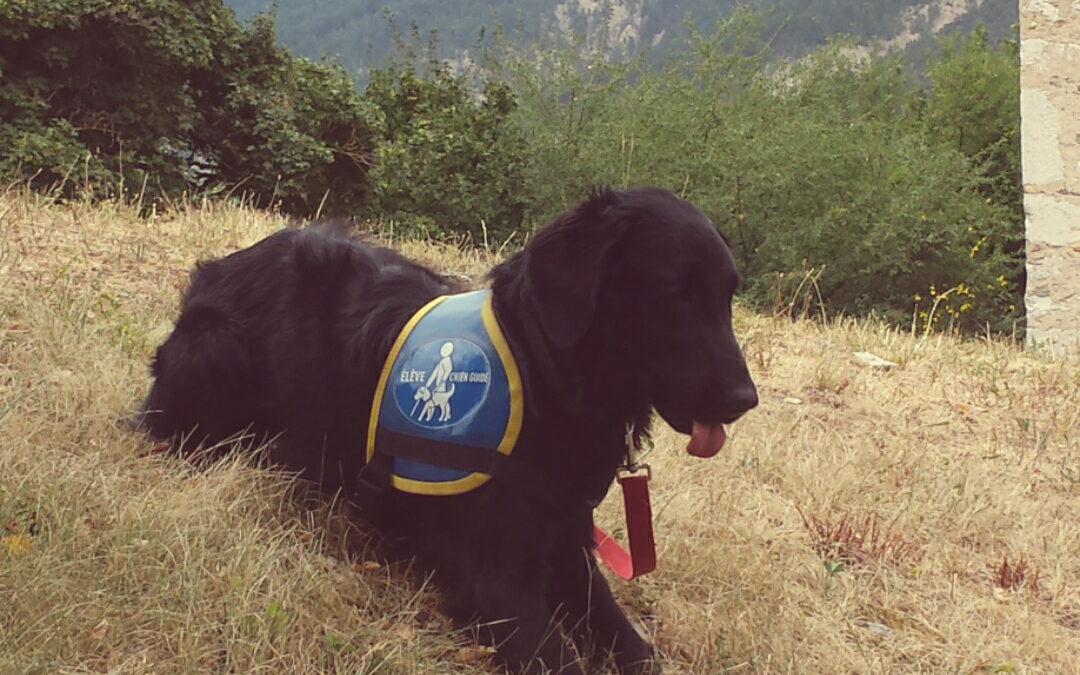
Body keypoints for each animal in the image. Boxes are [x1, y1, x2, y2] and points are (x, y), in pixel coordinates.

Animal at [137, 187, 760, 673]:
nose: (745, 400)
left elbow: (632, 646)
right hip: (214, 351)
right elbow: (560, 658)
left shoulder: (567, 544)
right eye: (677, 293)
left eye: (727, 296)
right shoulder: (494, 579)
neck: (540, 374)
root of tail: (218, 269)